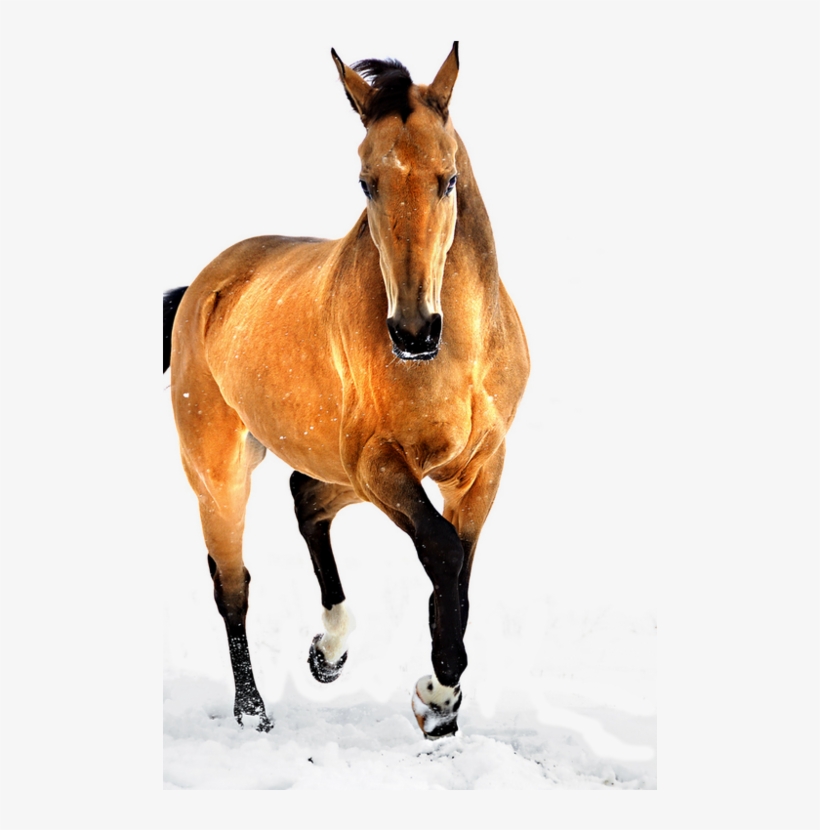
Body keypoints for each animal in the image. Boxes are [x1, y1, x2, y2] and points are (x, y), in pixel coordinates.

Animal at [163, 42, 529, 738]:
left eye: (447, 179)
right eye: (366, 182)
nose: (413, 331)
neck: (456, 356)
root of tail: (204, 286)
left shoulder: (478, 468)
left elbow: (459, 573)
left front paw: (441, 707)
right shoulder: (382, 462)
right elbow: (443, 554)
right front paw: (437, 693)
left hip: (336, 465)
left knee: (306, 498)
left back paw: (327, 653)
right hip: (220, 474)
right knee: (232, 585)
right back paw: (253, 713)